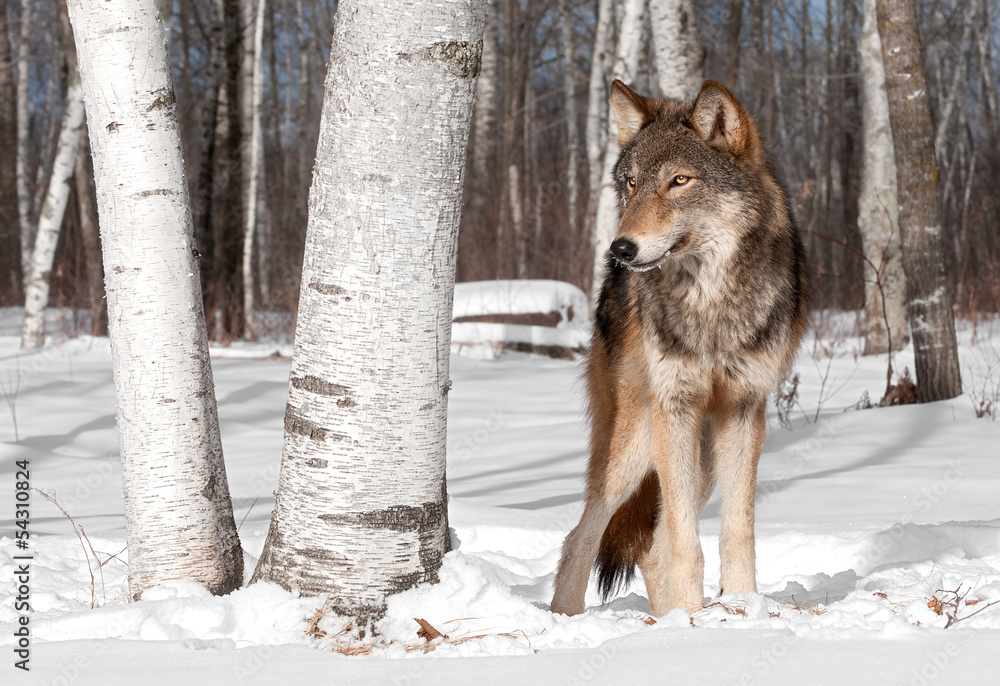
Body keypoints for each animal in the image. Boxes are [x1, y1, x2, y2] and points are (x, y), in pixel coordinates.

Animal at [550, 80, 809, 616]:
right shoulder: (675, 407)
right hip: (639, 442)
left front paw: (742, 607)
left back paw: (665, 617)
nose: (620, 249)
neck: (709, 302)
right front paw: (694, 618)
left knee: (651, 547)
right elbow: (687, 542)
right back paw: (566, 618)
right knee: (582, 534)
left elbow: (736, 532)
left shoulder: (744, 410)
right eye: (630, 183)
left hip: (700, 457)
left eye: (679, 181)